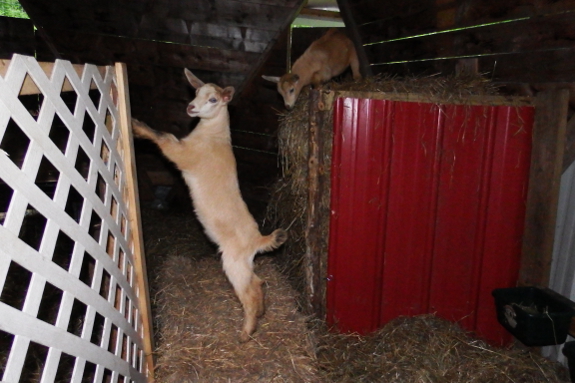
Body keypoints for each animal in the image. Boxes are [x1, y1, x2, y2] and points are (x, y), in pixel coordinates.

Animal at [133, 69, 290, 342]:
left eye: (214, 99)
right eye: (196, 91)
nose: (191, 107)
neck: (213, 136)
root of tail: (259, 240)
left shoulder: (182, 154)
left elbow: (163, 137)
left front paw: (137, 127)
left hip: (233, 262)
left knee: (248, 292)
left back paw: (246, 332)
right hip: (244, 263)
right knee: (257, 283)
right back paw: (260, 313)